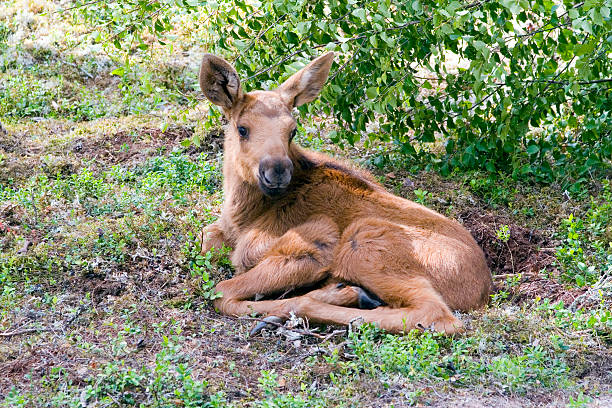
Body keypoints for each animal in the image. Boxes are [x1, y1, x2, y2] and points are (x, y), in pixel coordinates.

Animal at [198, 51, 494, 334]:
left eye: (292, 130)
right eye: (242, 129)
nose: (277, 171)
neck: (243, 213)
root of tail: (482, 291)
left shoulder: (317, 244)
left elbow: (223, 291)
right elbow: (207, 238)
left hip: (365, 239)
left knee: (434, 314)